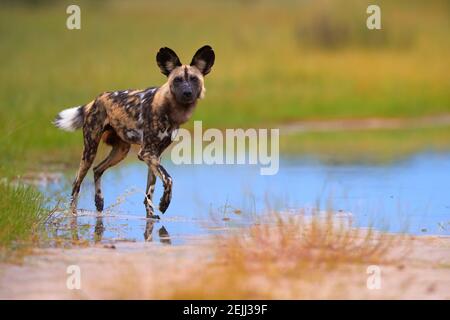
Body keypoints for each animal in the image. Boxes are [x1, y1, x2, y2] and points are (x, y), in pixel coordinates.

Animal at [54, 46, 216, 219]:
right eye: (177, 80)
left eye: (194, 79)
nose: (187, 93)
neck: (171, 109)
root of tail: (98, 98)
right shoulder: (146, 153)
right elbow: (169, 179)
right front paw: (164, 204)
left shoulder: (154, 155)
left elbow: (150, 191)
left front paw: (151, 214)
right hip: (90, 151)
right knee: (76, 183)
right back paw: (72, 214)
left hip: (121, 151)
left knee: (97, 170)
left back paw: (99, 201)